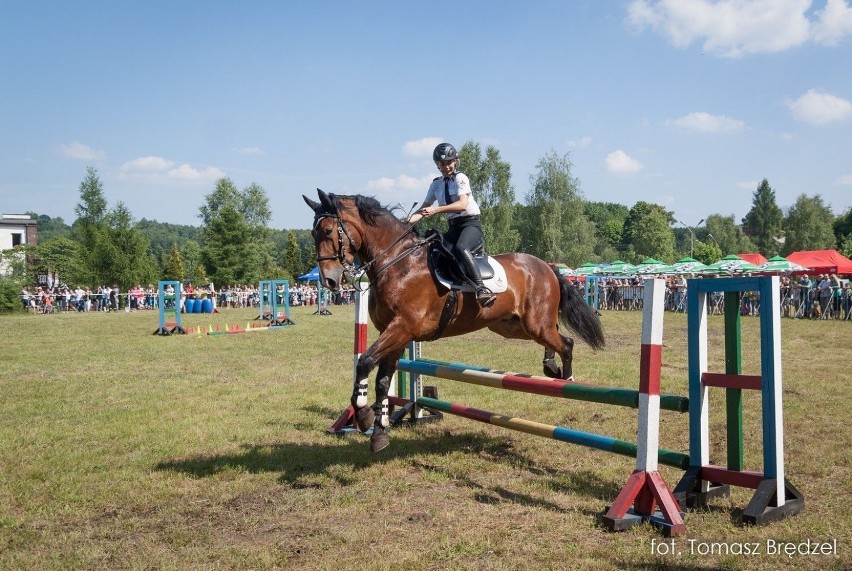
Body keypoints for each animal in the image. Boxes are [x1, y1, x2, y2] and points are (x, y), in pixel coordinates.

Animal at [302, 190, 604, 454]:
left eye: (327, 231)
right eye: (313, 233)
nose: (329, 281)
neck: (396, 262)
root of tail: (547, 266)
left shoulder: (402, 327)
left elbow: (364, 361)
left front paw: (363, 414)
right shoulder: (394, 334)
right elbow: (383, 380)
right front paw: (379, 431)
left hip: (535, 323)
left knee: (567, 342)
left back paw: (567, 380)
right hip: (512, 326)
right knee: (556, 338)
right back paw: (550, 367)